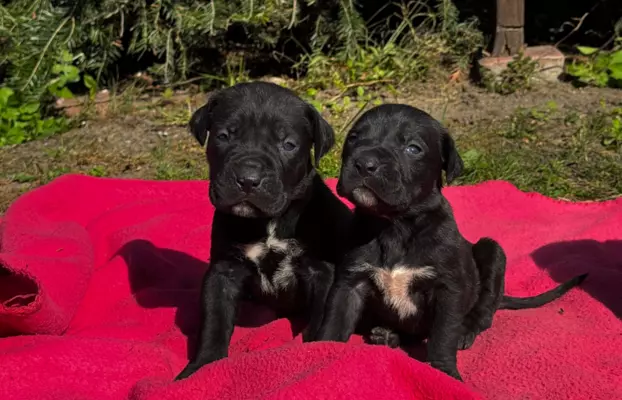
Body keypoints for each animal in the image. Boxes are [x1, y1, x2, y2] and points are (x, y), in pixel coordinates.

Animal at [176, 82, 354, 382]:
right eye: (224, 136)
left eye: (288, 145)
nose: (248, 180)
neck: (268, 222)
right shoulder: (223, 272)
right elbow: (214, 322)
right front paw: (201, 369)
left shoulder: (321, 272)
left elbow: (321, 317)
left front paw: (312, 354)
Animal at [314, 103, 592, 382]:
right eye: (354, 138)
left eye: (413, 148)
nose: (364, 163)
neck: (395, 226)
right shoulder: (351, 281)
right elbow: (334, 322)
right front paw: (321, 352)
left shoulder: (448, 289)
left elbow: (443, 334)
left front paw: (444, 372)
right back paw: (387, 334)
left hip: (492, 251)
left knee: (484, 311)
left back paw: (464, 330)